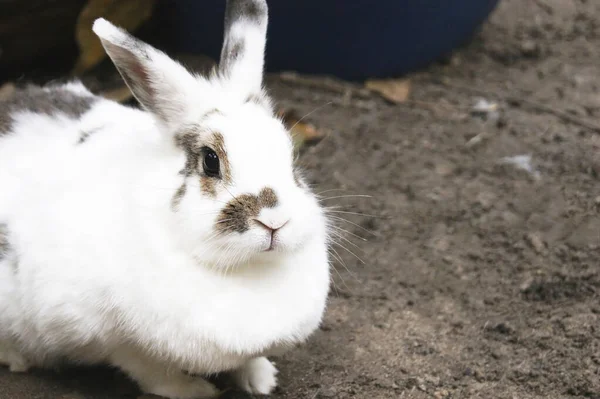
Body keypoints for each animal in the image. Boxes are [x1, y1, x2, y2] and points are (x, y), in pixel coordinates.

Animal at [0, 1, 330, 398]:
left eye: (291, 157)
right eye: (210, 161)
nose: (274, 221)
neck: (243, 268)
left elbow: (246, 360)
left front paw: (261, 379)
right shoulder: (114, 338)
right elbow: (150, 371)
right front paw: (196, 390)